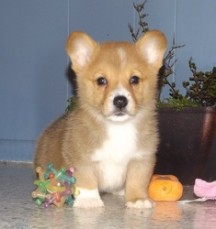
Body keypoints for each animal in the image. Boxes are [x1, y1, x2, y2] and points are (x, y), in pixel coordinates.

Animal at [34, 29, 167, 208]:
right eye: (101, 80)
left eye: (134, 79)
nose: (120, 101)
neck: (118, 128)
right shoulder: (81, 159)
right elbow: (87, 180)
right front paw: (89, 200)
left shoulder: (141, 159)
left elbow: (137, 181)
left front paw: (137, 199)